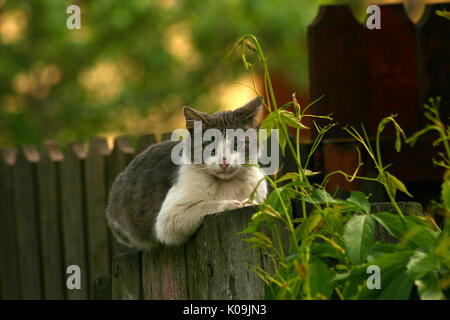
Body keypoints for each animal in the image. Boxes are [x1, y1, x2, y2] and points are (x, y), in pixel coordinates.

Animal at [105, 96, 268, 249]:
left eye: (236, 144)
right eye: (208, 145)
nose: (224, 162)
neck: (227, 184)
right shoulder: (168, 219)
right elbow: (204, 206)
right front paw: (233, 204)